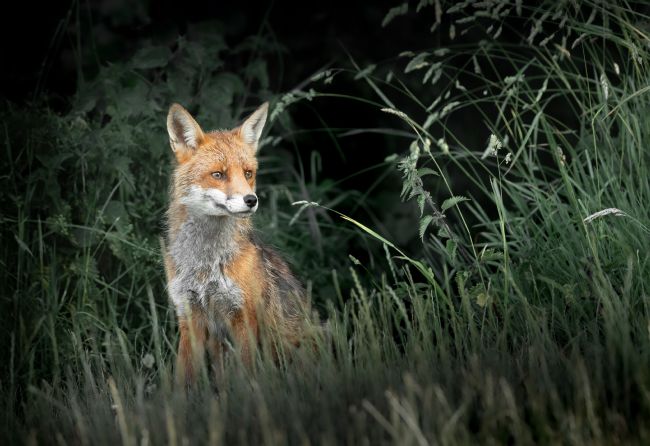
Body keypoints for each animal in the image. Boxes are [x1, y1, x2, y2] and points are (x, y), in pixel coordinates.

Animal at [162, 102, 310, 385]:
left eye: (248, 173)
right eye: (218, 174)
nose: (251, 200)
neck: (206, 263)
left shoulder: (243, 315)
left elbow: (247, 376)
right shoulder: (189, 316)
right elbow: (182, 379)